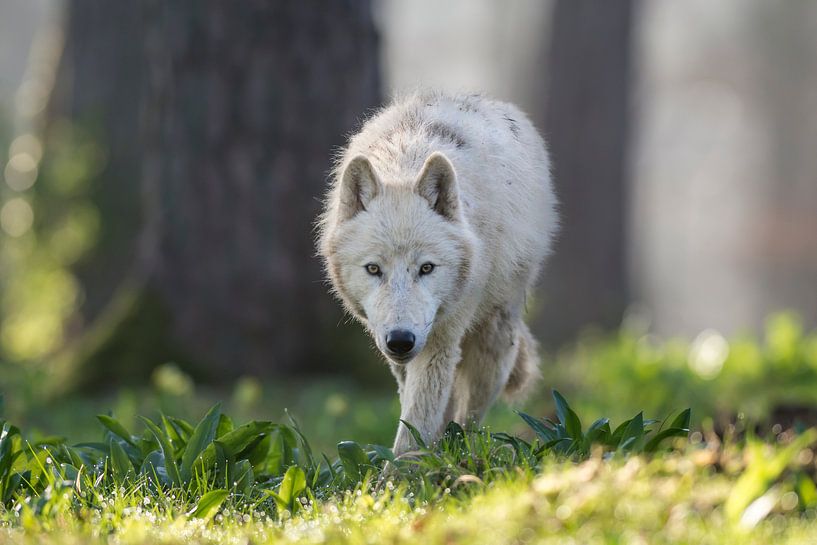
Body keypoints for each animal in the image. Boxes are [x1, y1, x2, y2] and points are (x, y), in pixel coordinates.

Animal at [316, 90, 556, 454]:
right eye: (373, 269)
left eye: (426, 268)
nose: (401, 341)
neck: (406, 164)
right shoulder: (401, 346)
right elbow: (415, 408)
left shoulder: (441, 337)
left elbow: (417, 419)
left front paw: (404, 468)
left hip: (494, 334)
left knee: (469, 416)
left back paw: (460, 453)